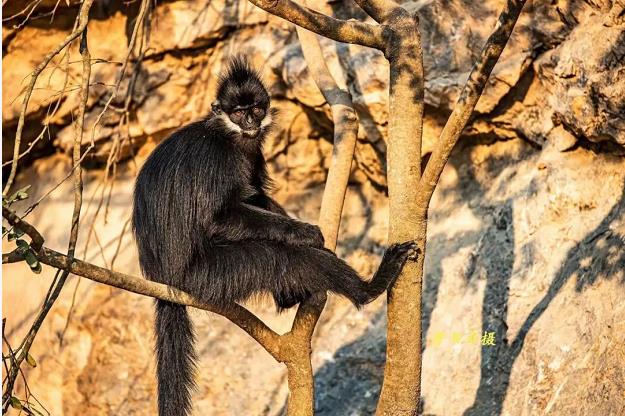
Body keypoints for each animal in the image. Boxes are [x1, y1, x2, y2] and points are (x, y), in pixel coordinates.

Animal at [131, 57, 414, 416]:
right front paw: (305, 232)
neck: (227, 135)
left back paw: (292, 296)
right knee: (284, 258)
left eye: (255, 108)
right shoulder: (217, 159)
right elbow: (220, 218)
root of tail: (163, 280)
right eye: (238, 112)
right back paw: (369, 287)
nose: (251, 121)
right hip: (207, 275)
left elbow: (257, 196)